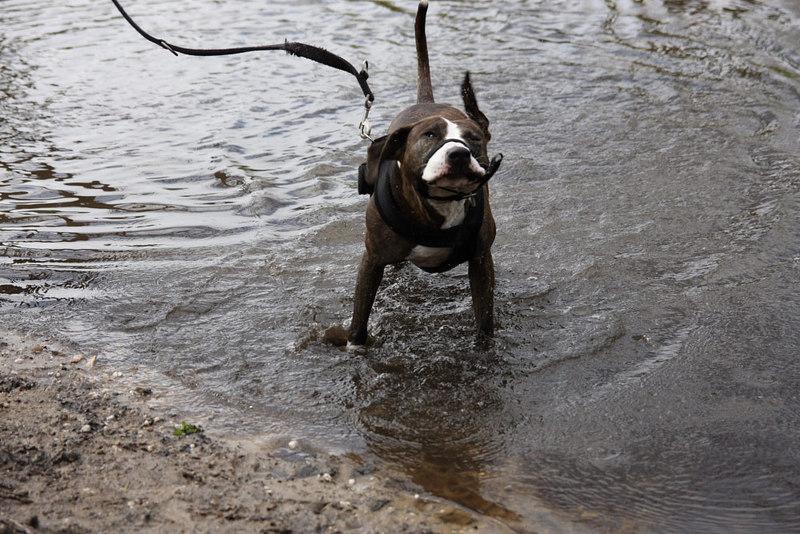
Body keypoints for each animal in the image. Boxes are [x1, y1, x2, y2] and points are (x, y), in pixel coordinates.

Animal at [348, 0, 504, 348]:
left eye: (474, 138)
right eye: (430, 136)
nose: (458, 154)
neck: (439, 203)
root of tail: (426, 100)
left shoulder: (480, 261)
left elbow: (484, 319)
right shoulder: (371, 261)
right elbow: (359, 319)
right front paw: (353, 345)